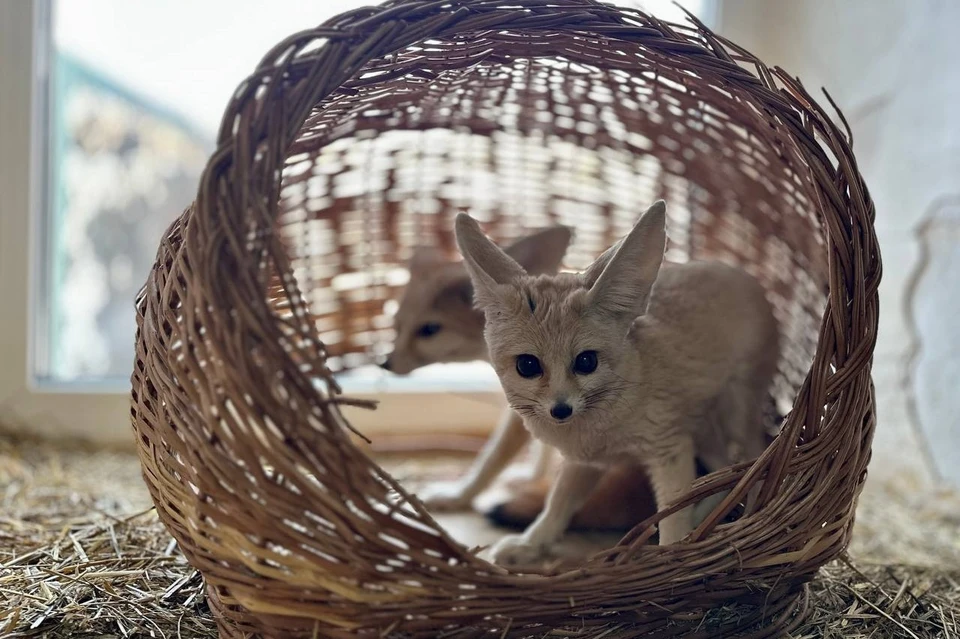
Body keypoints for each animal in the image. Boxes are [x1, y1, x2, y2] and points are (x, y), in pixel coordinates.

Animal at [378, 225, 664, 528]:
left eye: (429, 330)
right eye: (396, 325)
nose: (384, 363)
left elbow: (492, 456)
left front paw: (459, 495)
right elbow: (544, 448)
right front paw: (533, 476)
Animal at [454, 200, 776, 564]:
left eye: (586, 362)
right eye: (528, 365)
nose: (560, 410)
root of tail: (740, 273)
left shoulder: (670, 449)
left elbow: (672, 514)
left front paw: (670, 553)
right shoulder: (585, 461)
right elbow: (558, 504)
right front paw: (532, 543)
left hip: (735, 416)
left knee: (752, 460)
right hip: (703, 431)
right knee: (726, 467)